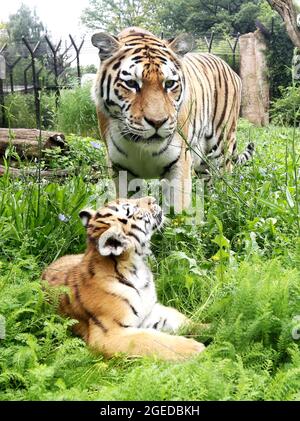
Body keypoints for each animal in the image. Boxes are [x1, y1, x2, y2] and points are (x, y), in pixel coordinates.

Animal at [92, 27, 253, 210]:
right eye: (131, 84)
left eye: (169, 84)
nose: (157, 122)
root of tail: (229, 67)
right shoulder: (121, 169)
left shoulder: (179, 162)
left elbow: (178, 209)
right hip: (203, 161)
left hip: (221, 146)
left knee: (225, 179)